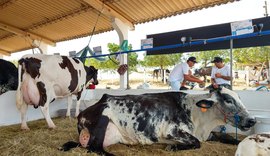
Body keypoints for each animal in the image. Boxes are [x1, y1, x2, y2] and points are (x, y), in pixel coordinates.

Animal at [60, 87, 256, 155]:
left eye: (238, 97)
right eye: (228, 100)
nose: (252, 120)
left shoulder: (207, 134)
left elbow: (229, 138)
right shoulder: (172, 131)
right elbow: (196, 143)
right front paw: (173, 147)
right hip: (103, 117)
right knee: (95, 148)